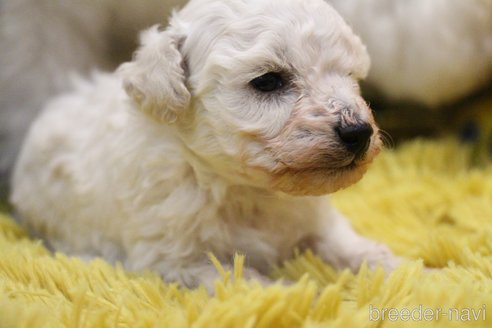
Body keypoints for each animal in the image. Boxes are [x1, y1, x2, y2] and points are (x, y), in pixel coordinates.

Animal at [11, 0, 400, 288]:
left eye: (350, 76)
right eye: (268, 81)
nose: (359, 132)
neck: (247, 193)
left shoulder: (317, 220)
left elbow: (348, 245)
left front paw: (400, 269)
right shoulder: (174, 259)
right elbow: (245, 280)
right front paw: (302, 294)